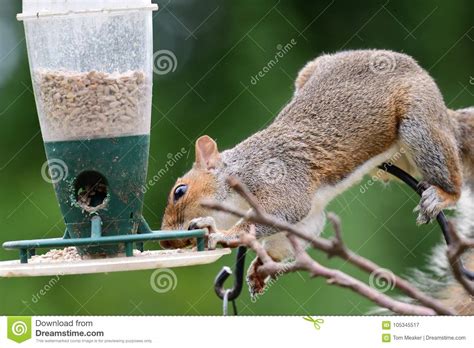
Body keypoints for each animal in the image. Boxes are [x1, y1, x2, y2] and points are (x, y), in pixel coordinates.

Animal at [161, 48, 472, 304]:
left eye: (180, 191)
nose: (166, 243)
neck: (239, 172)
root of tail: (444, 113)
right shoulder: (310, 215)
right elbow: (292, 235)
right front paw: (261, 267)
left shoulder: (280, 176)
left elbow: (276, 213)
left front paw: (220, 233)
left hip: (419, 123)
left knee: (450, 176)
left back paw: (442, 195)